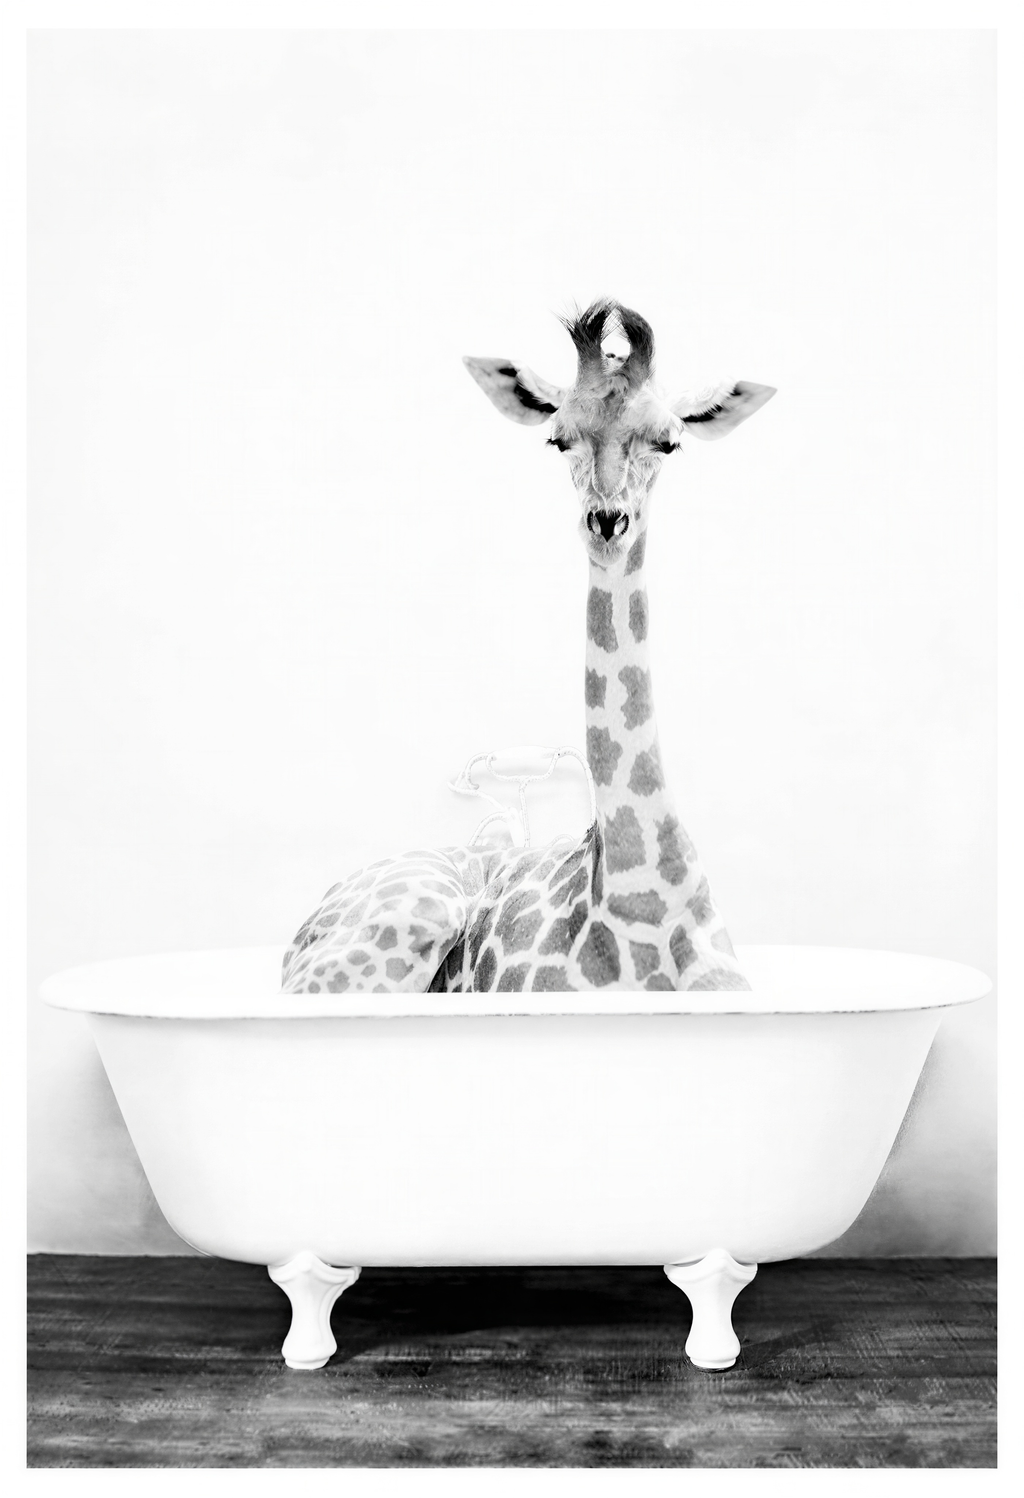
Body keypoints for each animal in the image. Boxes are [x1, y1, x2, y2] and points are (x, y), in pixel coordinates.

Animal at [281, 300, 774, 994]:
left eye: (669, 440)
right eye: (558, 438)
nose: (607, 522)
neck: (645, 902)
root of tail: (300, 929)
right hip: (403, 923)